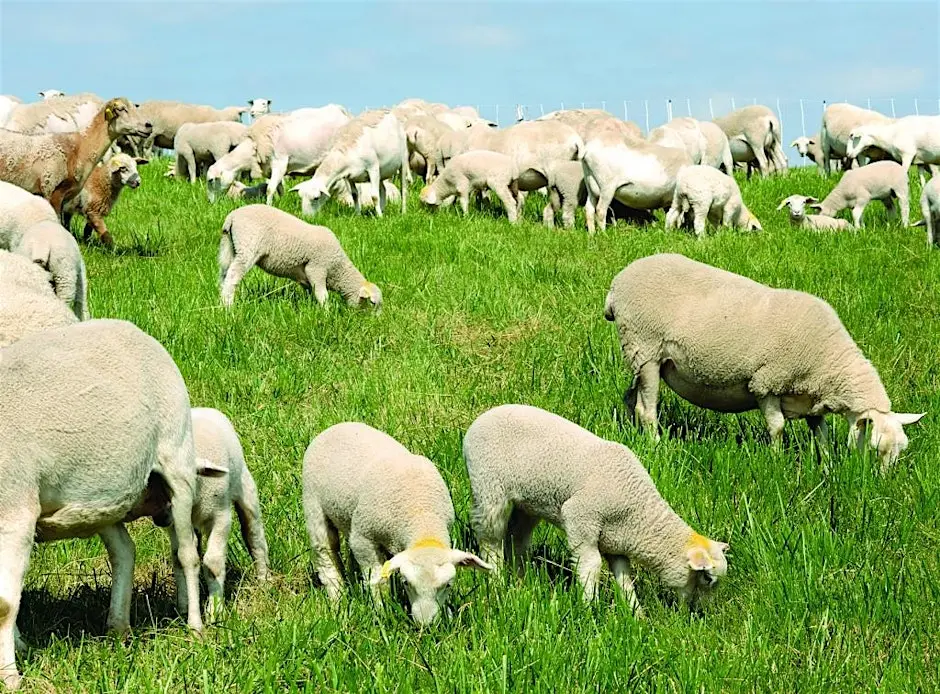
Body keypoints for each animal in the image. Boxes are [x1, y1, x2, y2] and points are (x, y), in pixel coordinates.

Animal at [0, 319, 210, 690]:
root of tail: (132, 329)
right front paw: (19, 649)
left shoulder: (15, 512)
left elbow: (5, 605)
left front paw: (9, 676)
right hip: (104, 496)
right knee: (125, 550)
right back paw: (117, 628)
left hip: (177, 456)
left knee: (186, 554)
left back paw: (195, 627)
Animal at [217, 204, 382, 310]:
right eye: (373, 303)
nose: (375, 322)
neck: (338, 268)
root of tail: (232, 217)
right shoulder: (317, 267)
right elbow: (322, 294)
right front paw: (326, 311)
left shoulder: (305, 276)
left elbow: (310, 291)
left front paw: (310, 306)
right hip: (248, 247)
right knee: (233, 276)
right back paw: (228, 306)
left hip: (229, 247)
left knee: (224, 273)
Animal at [302, 422, 492, 625]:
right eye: (406, 583)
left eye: (448, 585)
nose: (425, 625)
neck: (422, 517)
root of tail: (339, 426)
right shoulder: (364, 538)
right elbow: (377, 579)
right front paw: (382, 611)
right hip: (314, 506)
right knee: (326, 556)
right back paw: (338, 599)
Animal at [463, 404, 728, 614]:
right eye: (707, 577)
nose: (698, 613)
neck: (639, 514)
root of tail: (482, 417)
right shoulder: (580, 517)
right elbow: (591, 565)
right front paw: (589, 607)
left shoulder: (616, 541)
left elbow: (624, 578)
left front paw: (635, 614)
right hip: (489, 487)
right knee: (490, 537)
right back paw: (497, 579)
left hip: (528, 502)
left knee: (516, 536)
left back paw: (521, 580)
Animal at [603, 253, 924, 467]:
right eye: (875, 447)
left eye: (901, 450)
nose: (879, 483)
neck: (831, 362)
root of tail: (618, 283)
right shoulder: (766, 383)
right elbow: (777, 427)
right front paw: (777, 461)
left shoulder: (812, 398)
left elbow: (821, 434)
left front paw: (828, 465)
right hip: (646, 348)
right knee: (647, 409)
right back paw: (656, 445)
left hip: (640, 356)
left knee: (631, 398)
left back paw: (631, 434)